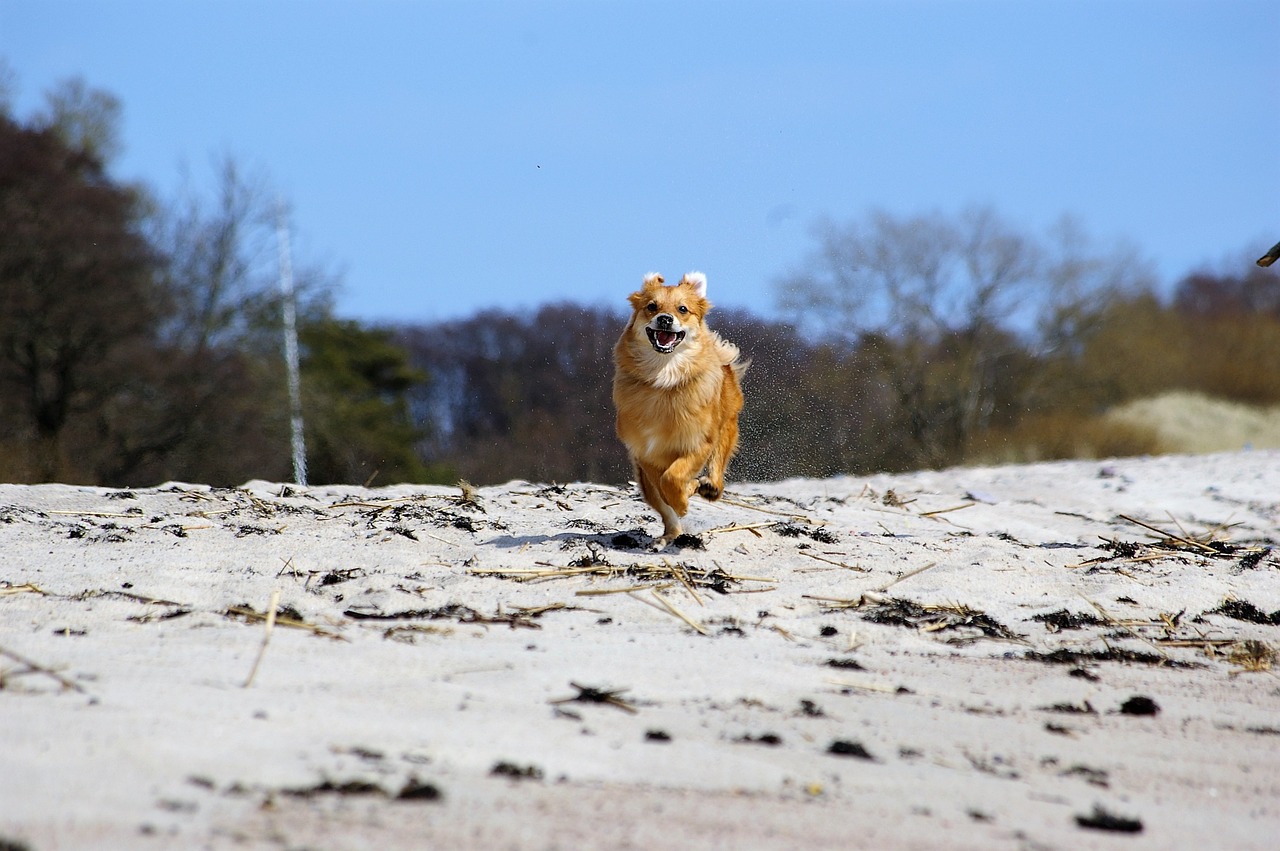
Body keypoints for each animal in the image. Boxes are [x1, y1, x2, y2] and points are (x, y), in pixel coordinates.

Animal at [611, 275, 747, 547]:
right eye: (652, 306)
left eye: (682, 309)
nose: (665, 318)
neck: (664, 375)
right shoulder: (645, 451)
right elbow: (665, 484)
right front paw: (682, 498)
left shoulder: (699, 442)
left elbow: (673, 477)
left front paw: (685, 496)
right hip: (645, 482)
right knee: (664, 508)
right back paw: (668, 536)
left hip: (725, 426)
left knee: (717, 466)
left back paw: (709, 487)